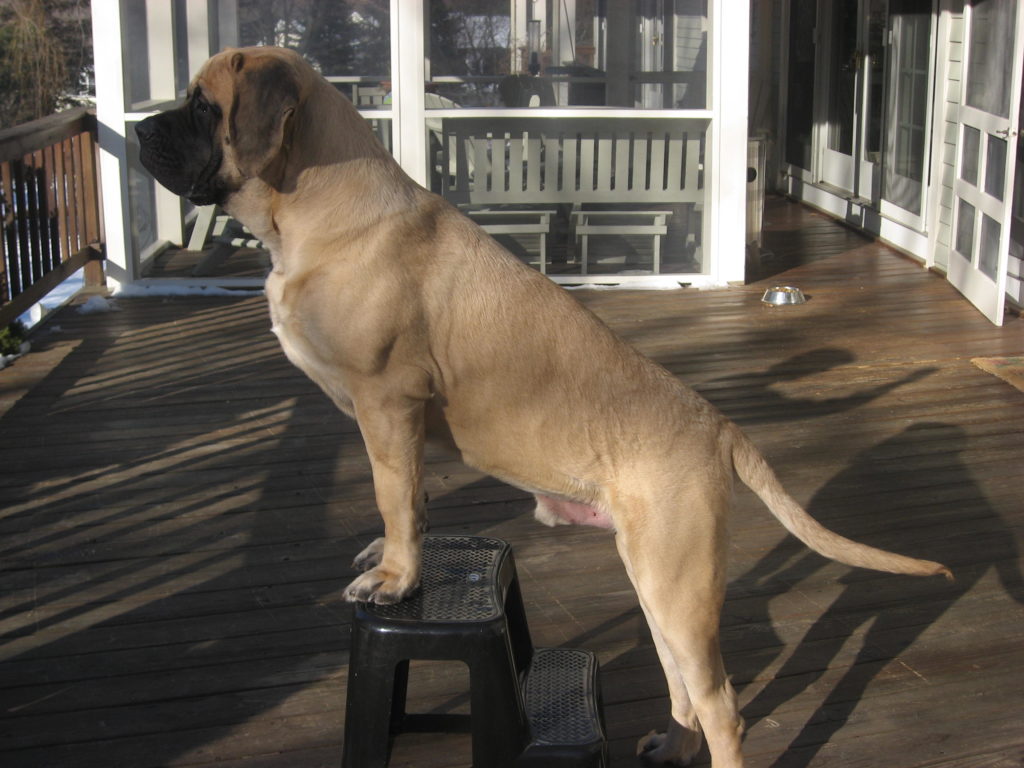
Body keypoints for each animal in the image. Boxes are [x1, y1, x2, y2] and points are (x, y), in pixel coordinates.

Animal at [138, 48, 950, 768]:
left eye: (203, 106)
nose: (142, 130)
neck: (314, 202)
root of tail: (719, 426)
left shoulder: (387, 401)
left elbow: (393, 493)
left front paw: (397, 578)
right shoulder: (396, 420)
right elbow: (410, 498)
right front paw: (395, 555)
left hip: (678, 583)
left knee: (723, 704)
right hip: (654, 579)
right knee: (684, 684)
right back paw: (672, 743)